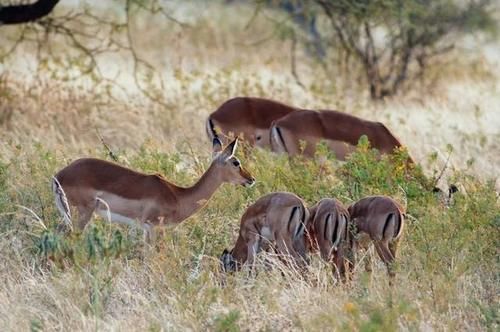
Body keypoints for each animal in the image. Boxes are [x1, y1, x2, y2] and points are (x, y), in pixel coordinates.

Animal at [51, 137, 254, 241]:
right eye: (236, 162)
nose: (251, 179)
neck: (178, 196)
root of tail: (59, 175)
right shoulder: (154, 228)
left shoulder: (146, 230)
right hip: (82, 213)